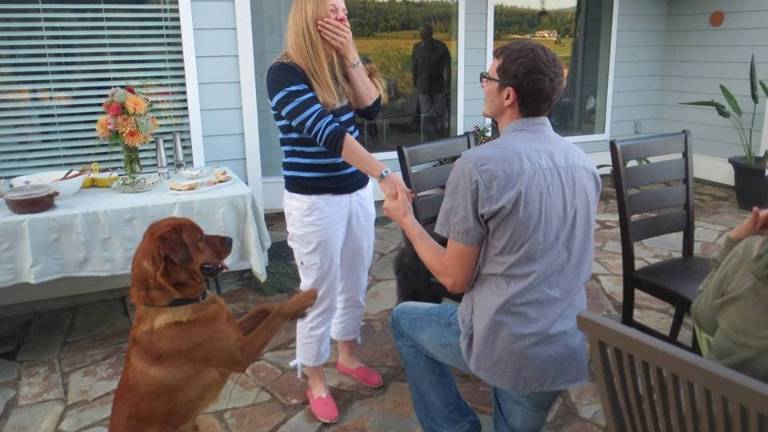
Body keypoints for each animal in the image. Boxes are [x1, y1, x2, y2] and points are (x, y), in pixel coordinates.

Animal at [110, 217, 317, 432]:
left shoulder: (234, 333)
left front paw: (295, 309)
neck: (176, 302)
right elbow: (277, 313)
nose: (230, 239)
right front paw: (304, 298)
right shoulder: (242, 353)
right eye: (200, 238)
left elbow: (264, 308)